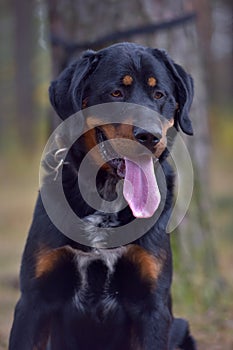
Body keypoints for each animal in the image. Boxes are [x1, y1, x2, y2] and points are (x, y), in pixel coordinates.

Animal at [9, 42, 197, 348]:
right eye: (116, 92)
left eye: (159, 94)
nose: (149, 136)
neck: (106, 194)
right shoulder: (34, 300)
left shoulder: (152, 305)